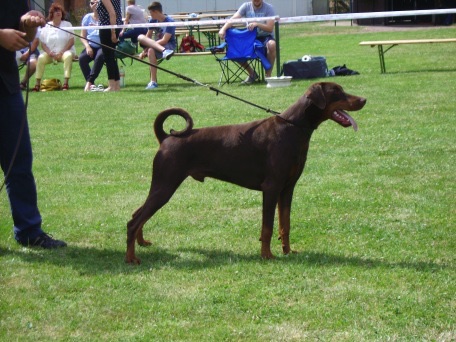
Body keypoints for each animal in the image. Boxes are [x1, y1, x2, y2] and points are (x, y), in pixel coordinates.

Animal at [125, 83, 366, 264]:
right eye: (337, 92)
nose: (364, 99)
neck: (293, 127)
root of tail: (166, 138)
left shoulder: (287, 188)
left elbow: (285, 223)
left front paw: (288, 251)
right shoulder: (271, 187)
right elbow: (267, 226)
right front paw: (267, 255)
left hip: (162, 185)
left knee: (137, 213)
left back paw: (141, 243)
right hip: (166, 184)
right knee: (133, 221)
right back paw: (131, 258)